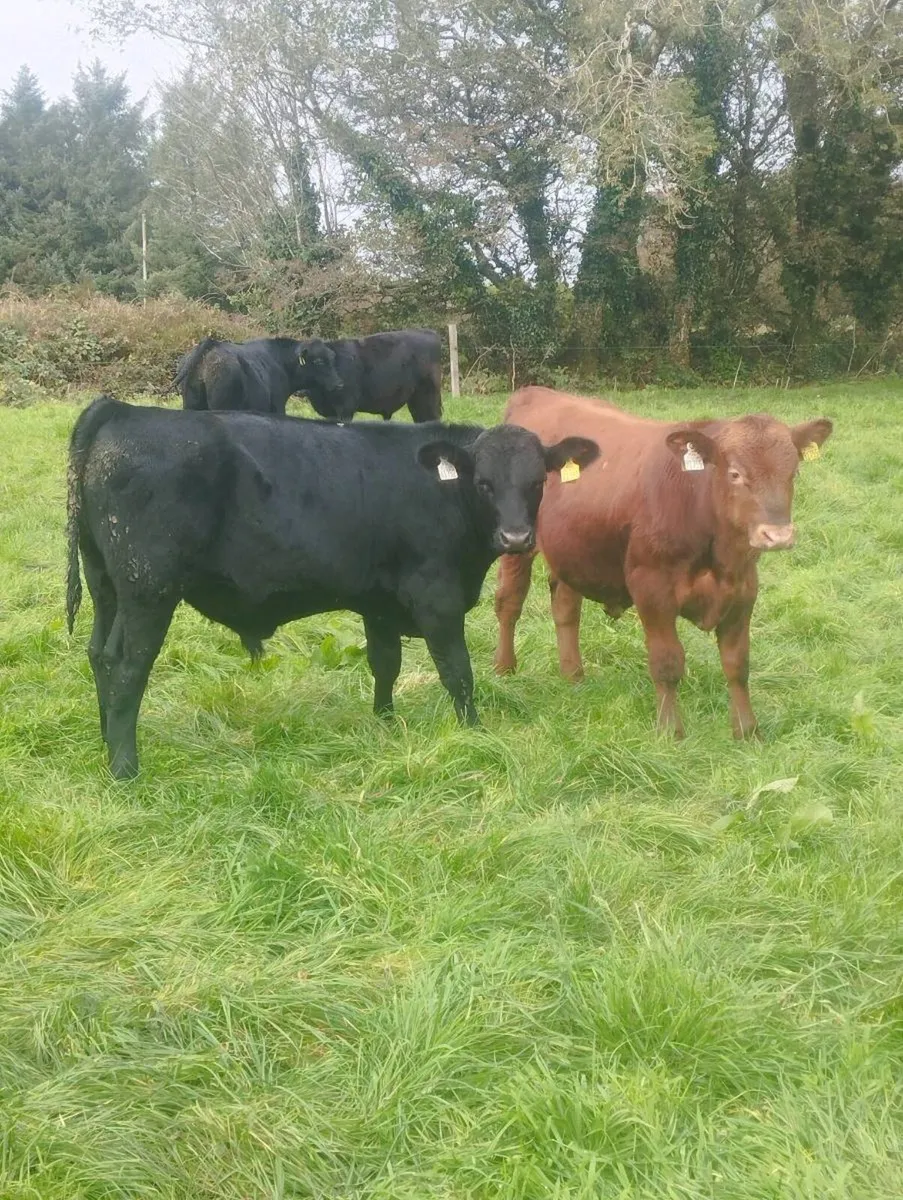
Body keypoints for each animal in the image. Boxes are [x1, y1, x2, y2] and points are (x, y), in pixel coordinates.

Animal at [66, 396, 599, 778]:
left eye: (537, 482)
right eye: (484, 483)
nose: (516, 538)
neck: (443, 492)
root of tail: (121, 410)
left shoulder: (379, 599)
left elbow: (385, 664)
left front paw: (385, 724)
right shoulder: (437, 596)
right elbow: (458, 672)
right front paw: (475, 732)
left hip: (106, 584)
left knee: (97, 655)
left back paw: (105, 742)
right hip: (148, 589)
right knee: (127, 665)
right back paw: (125, 768)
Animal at [175, 336, 344, 415]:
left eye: (332, 358)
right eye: (318, 361)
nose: (339, 384)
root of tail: (212, 344)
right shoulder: (278, 406)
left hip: (191, 404)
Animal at [493, 387, 833, 739]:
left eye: (794, 472)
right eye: (735, 474)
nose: (777, 535)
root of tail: (536, 392)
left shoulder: (743, 590)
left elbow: (737, 663)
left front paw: (747, 731)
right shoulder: (651, 588)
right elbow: (667, 662)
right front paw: (670, 730)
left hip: (572, 548)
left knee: (565, 608)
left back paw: (574, 676)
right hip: (517, 544)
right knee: (509, 603)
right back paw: (504, 668)